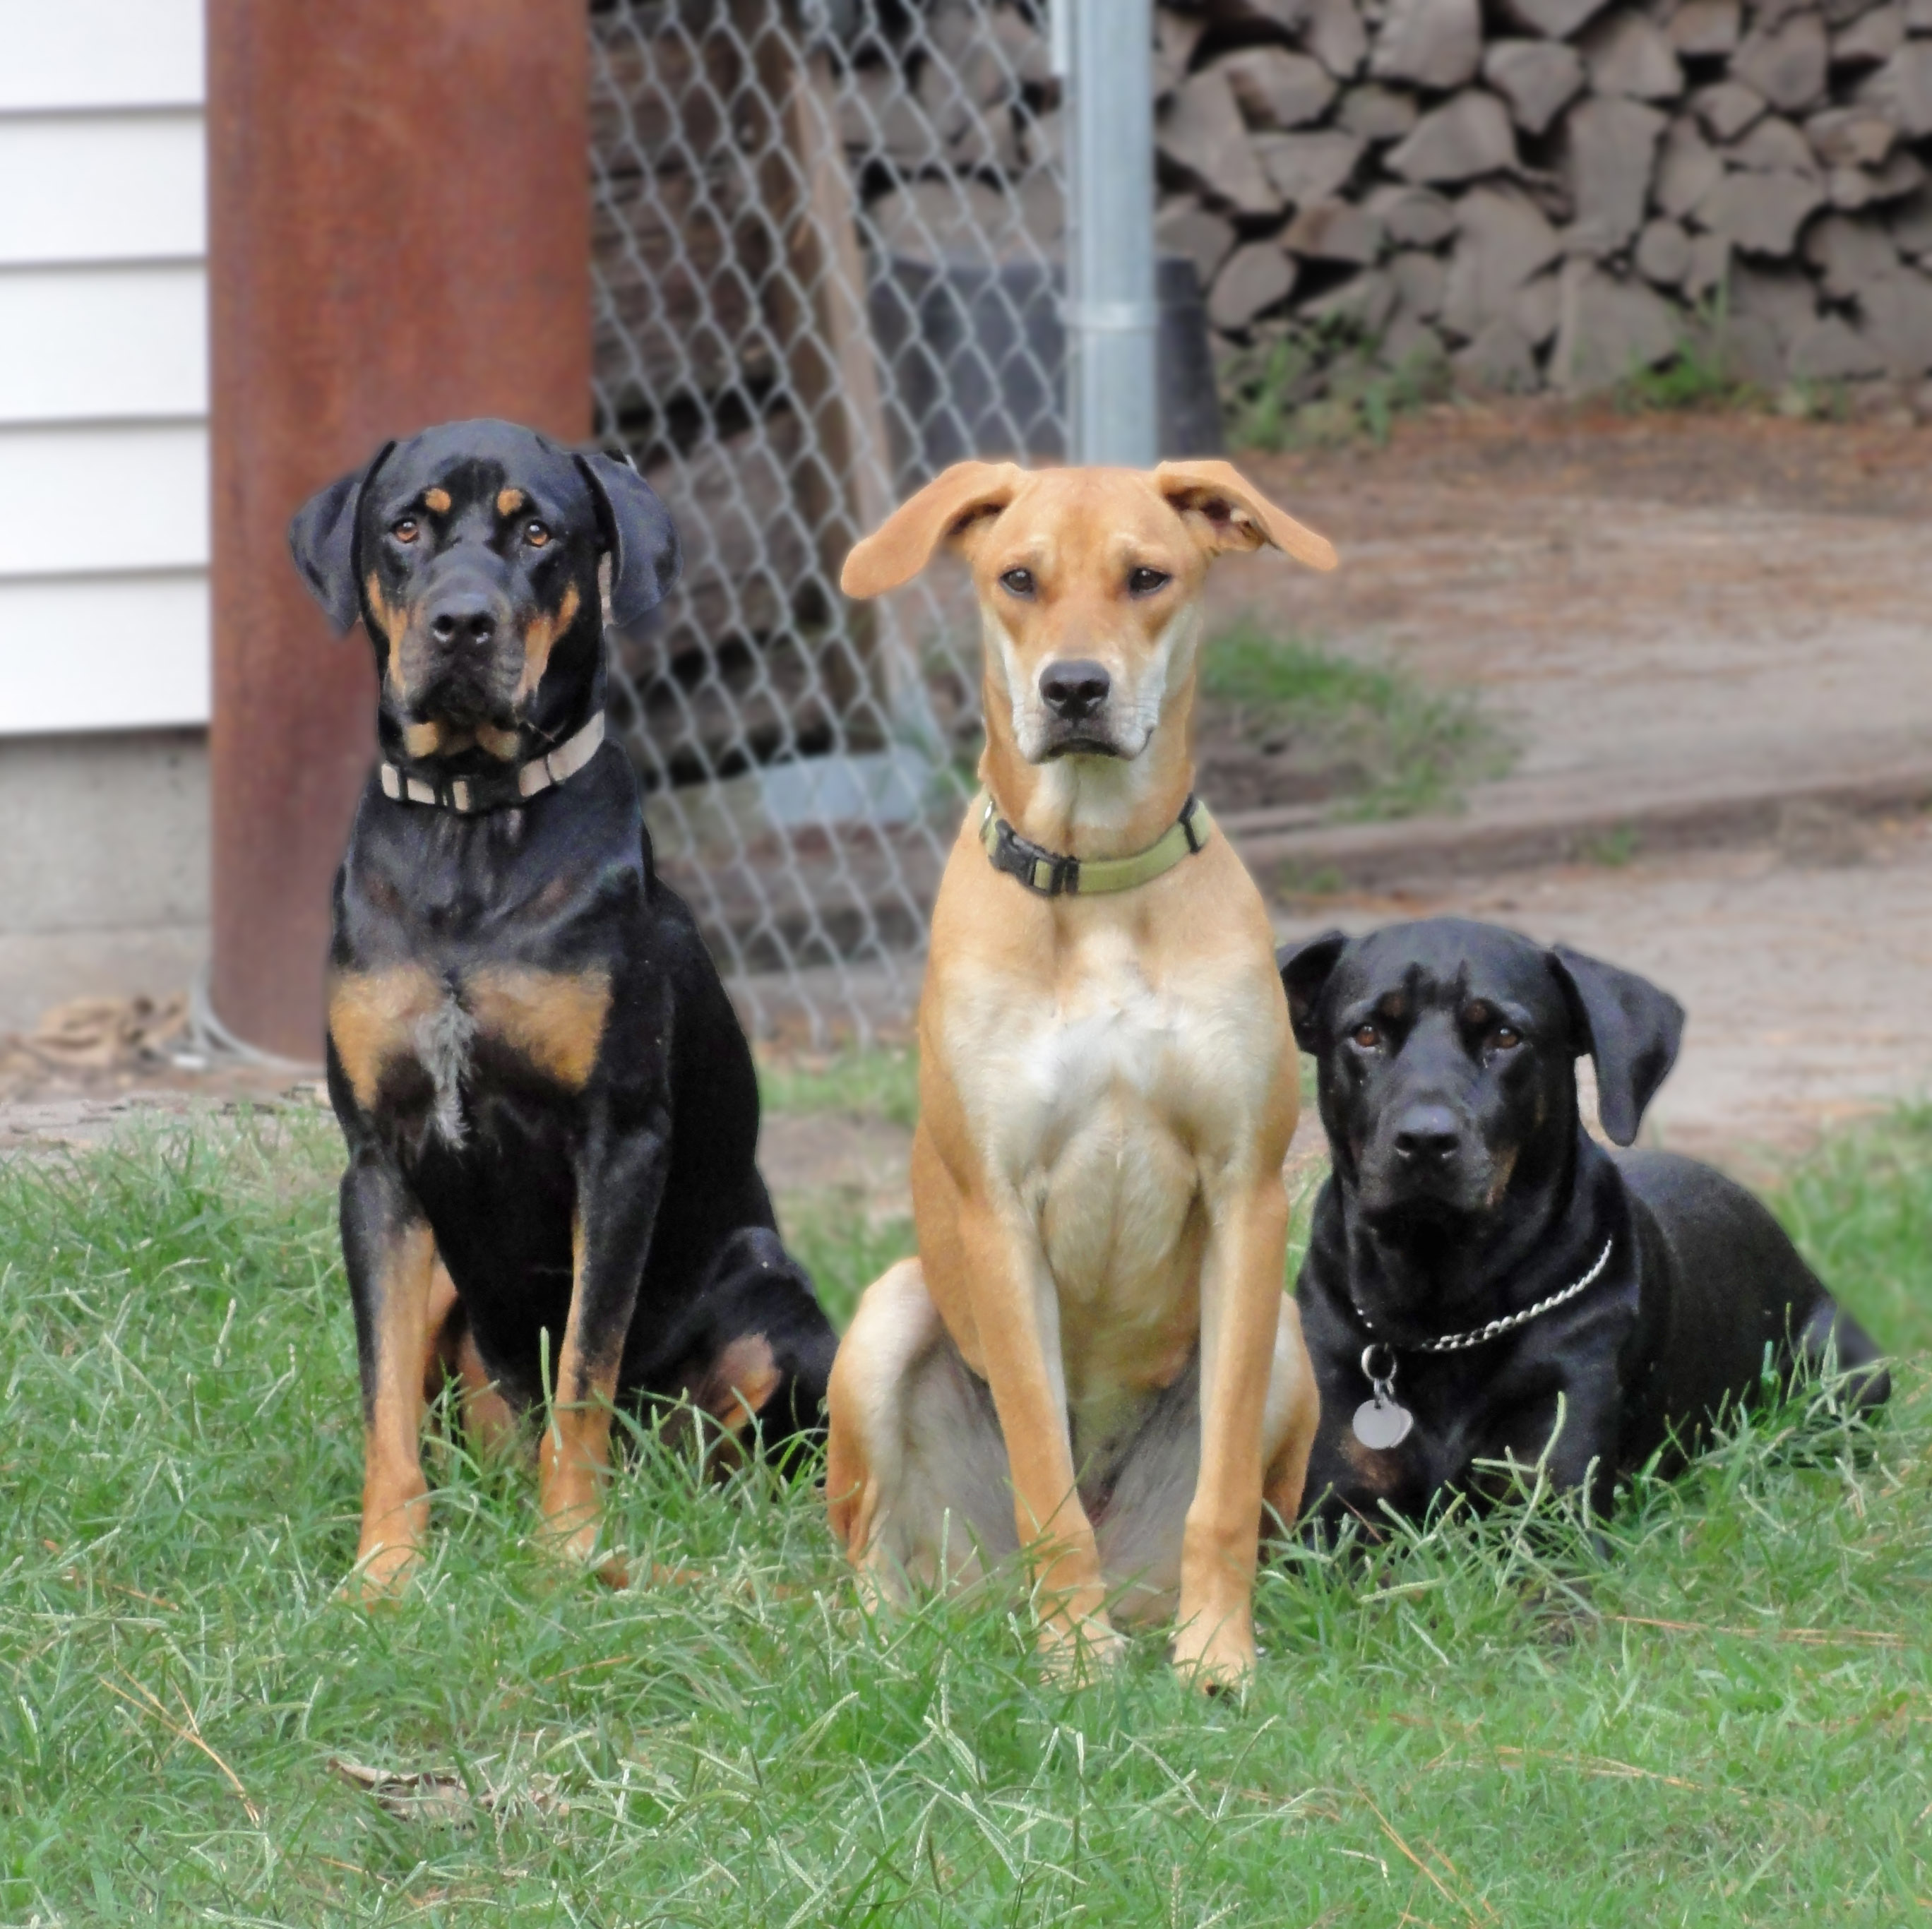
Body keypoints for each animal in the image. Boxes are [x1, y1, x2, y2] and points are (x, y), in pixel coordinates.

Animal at [290, 414, 834, 1591]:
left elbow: (586, 1363)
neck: (470, 827)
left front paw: (567, 1554)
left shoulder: (617, 1139)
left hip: (770, 1289)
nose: (461, 623)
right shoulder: (378, 1159)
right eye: (406, 528)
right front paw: (383, 1574)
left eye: (538, 532)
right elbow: (382, 1398)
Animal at [823, 459, 1337, 1683]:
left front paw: (1218, 1653)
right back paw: (902, 1649)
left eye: (1147, 577)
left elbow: (1222, 1495)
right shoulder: (999, 1214)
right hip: (889, 1317)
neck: (1098, 882)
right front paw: (1072, 1660)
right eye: (1019, 578)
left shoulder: (1246, 1194)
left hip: (1291, 1344)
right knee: (871, 1554)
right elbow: (1045, 1472)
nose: (1073, 688)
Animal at [1282, 919, 1885, 1536]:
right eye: (1366, 1033)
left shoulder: (1555, 1502)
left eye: (1506, 1036)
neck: (1445, 1311)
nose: (1426, 1139)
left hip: (1846, 1367)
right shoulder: (1333, 1503)